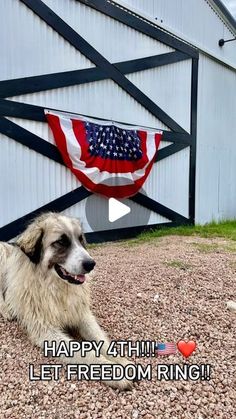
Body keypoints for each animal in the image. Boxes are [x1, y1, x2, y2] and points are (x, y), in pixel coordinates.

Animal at [0, 213, 133, 390]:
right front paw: (113, 372)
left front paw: (121, 361)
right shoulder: (45, 330)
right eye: (61, 242)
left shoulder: (82, 315)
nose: (91, 264)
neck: (57, 288)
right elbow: (84, 352)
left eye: (80, 239)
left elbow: (101, 340)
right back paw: (6, 310)